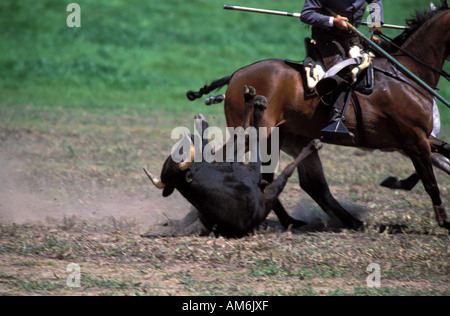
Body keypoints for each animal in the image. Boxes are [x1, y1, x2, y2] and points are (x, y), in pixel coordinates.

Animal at [186, 3, 450, 232]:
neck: (405, 77)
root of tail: (236, 75)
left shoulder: (420, 139)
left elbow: (442, 157)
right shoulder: (414, 141)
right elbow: (430, 182)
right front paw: (444, 221)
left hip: (284, 139)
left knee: (301, 183)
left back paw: (316, 221)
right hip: (253, 134)